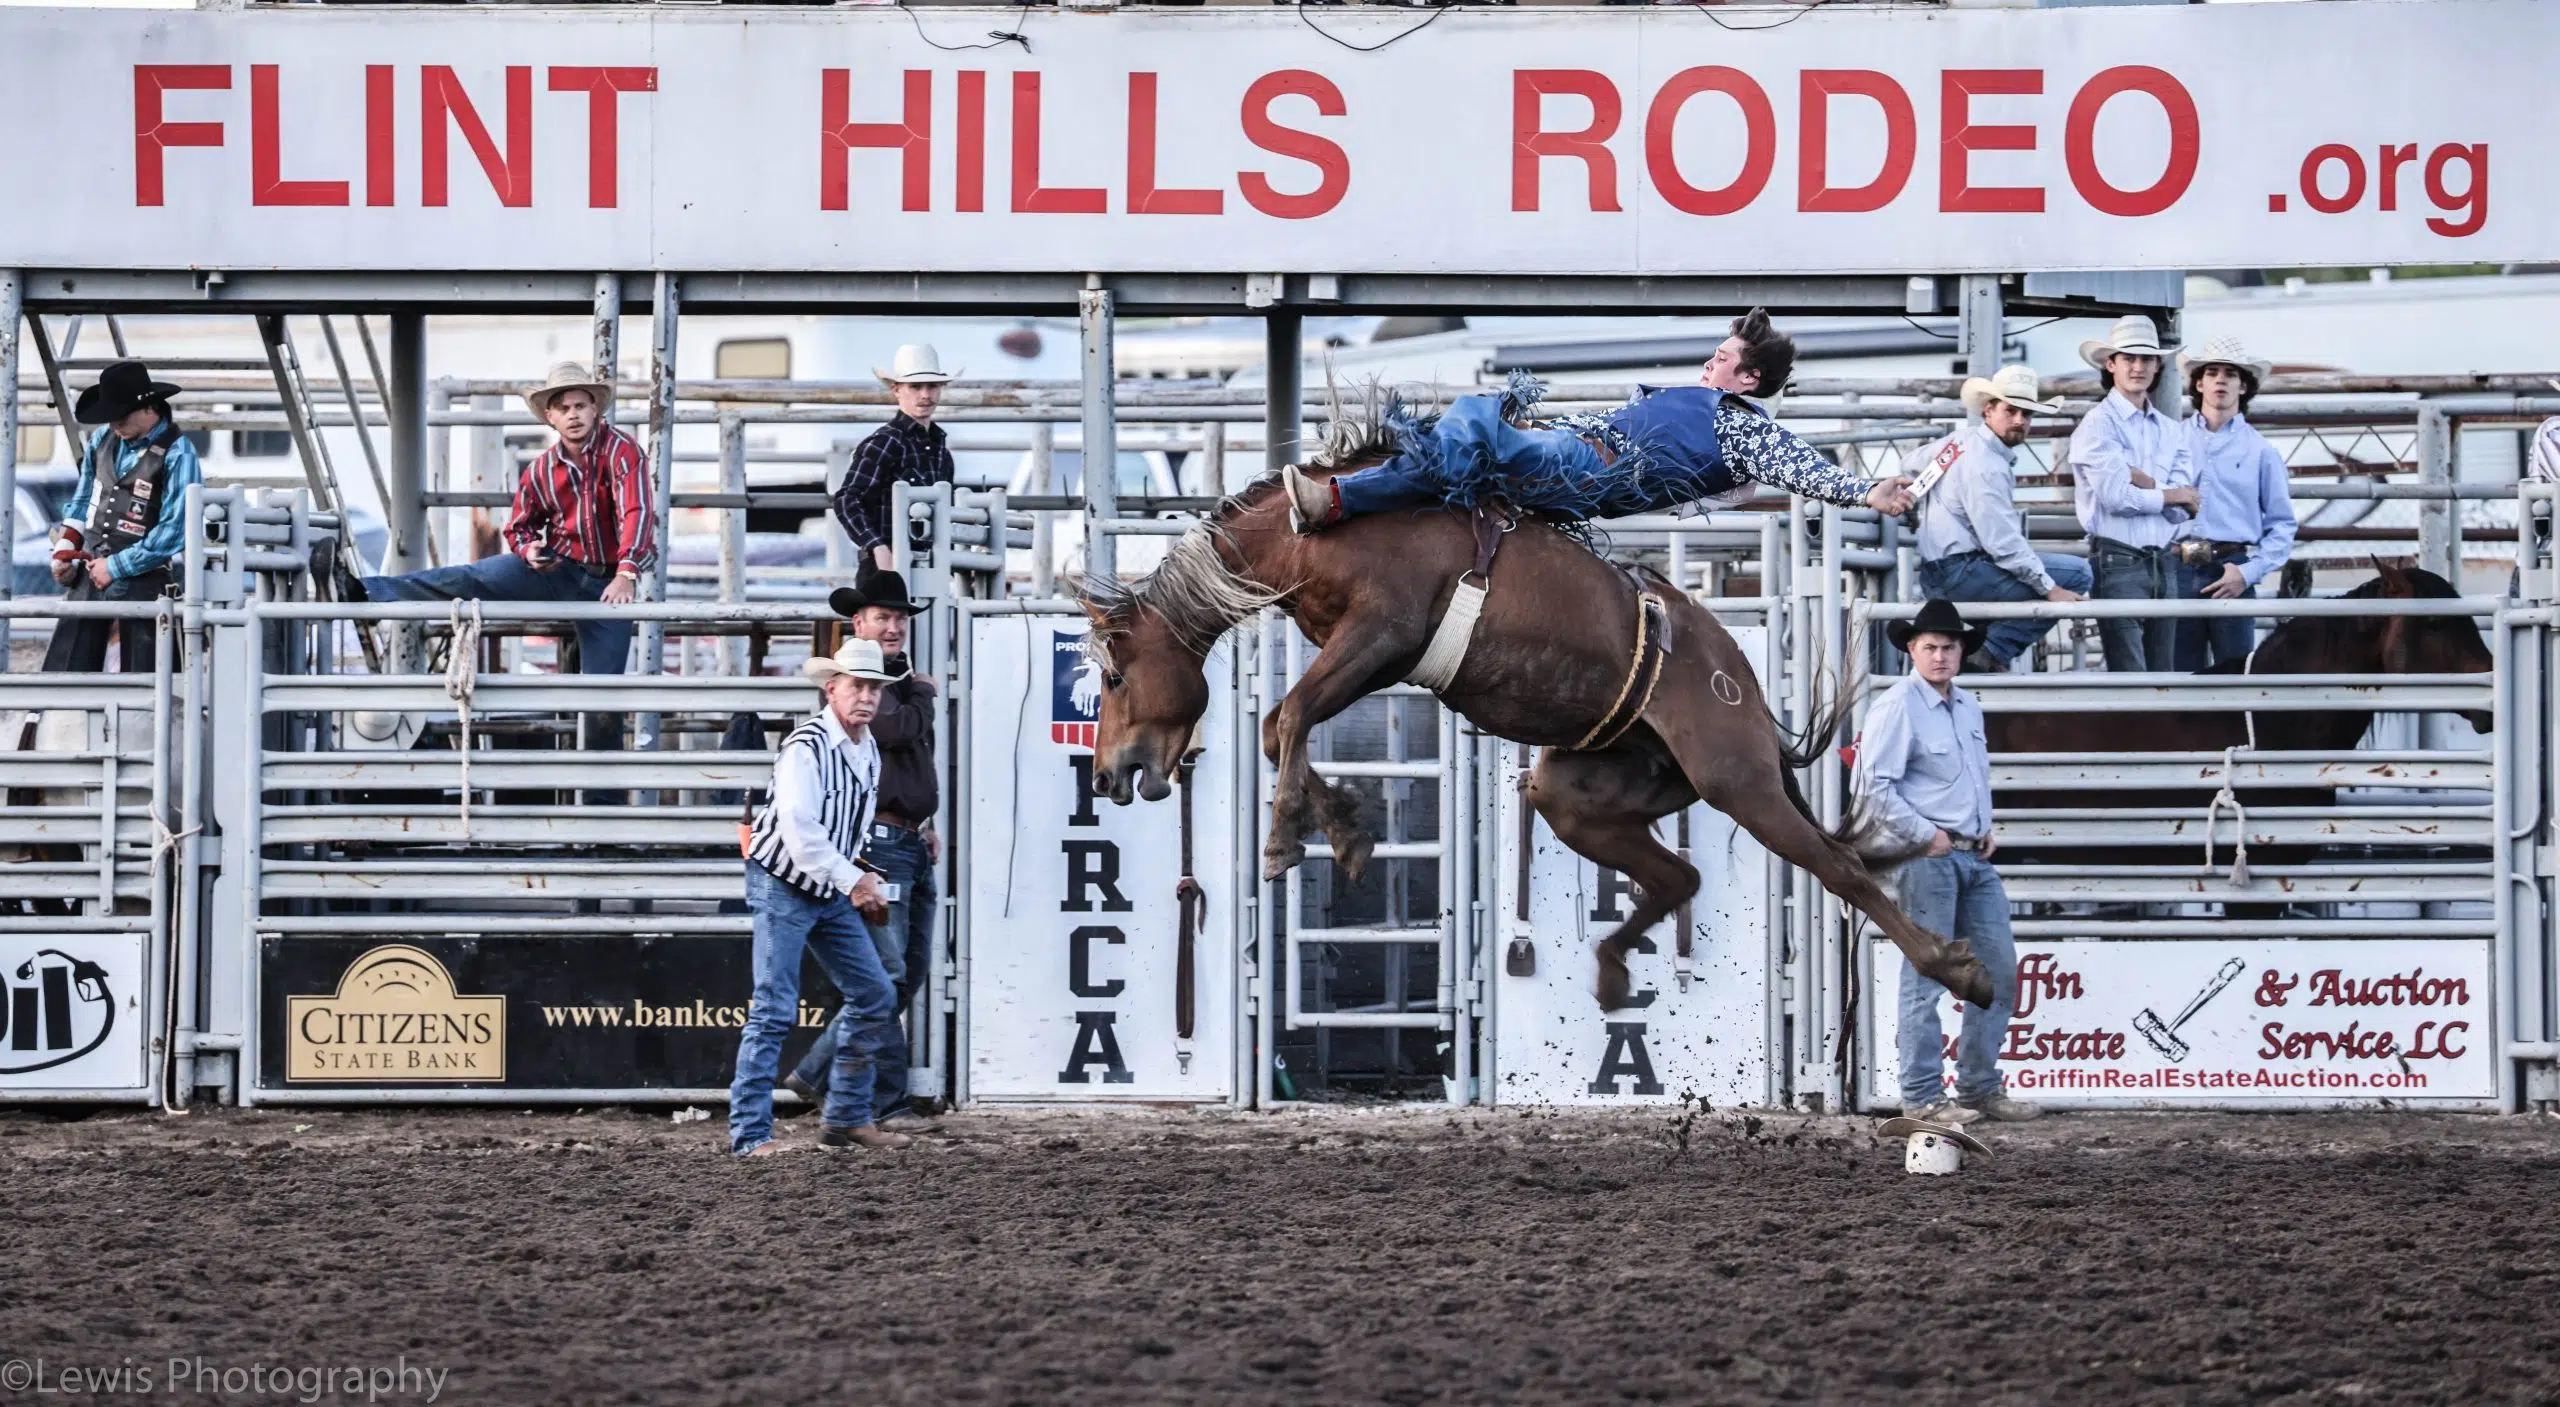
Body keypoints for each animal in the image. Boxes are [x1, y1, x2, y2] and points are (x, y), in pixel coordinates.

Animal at [1070, 450, 1986, 1002]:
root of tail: (1747, 687)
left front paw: (1282, 840)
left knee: (1841, 868)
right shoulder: (1361, 656)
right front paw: (1347, 833)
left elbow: (1288, 715)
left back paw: (1960, 971)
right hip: (1580, 792)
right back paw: (1612, 972)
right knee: (1677, 877)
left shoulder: (1380, 636)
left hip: (1739, 780)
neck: (1314, 536)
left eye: (1114, 675)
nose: (1109, 774)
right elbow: (1276, 728)